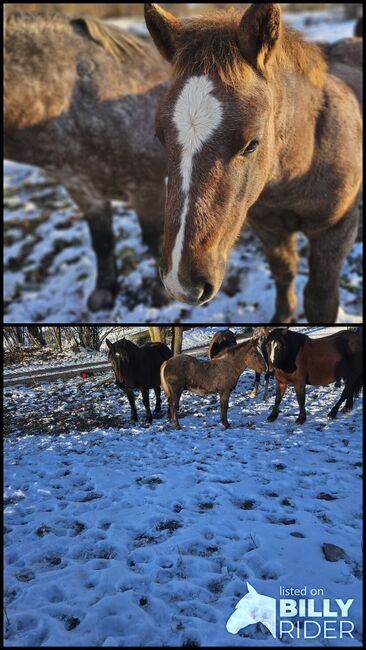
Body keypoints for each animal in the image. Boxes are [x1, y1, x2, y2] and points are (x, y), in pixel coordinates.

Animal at [4, 10, 170, 312]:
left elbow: (156, 239)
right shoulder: (82, 189)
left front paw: (162, 295)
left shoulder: (146, 187)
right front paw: (104, 292)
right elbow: (102, 242)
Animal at [144, 2, 362, 322]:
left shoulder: (335, 232)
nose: (181, 283)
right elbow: (284, 272)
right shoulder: (267, 226)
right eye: (159, 135)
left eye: (252, 144)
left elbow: (320, 299)